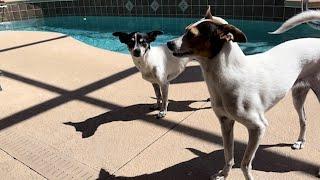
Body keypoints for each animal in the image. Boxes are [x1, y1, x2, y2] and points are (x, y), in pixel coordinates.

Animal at [166, 7, 318, 180]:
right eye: (185, 30)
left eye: (192, 35)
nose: (168, 43)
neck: (225, 76)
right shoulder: (225, 123)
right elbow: (228, 155)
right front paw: (224, 174)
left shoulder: (258, 128)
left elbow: (245, 164)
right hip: (298, 96)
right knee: (303, 120)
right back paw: (300, 141)